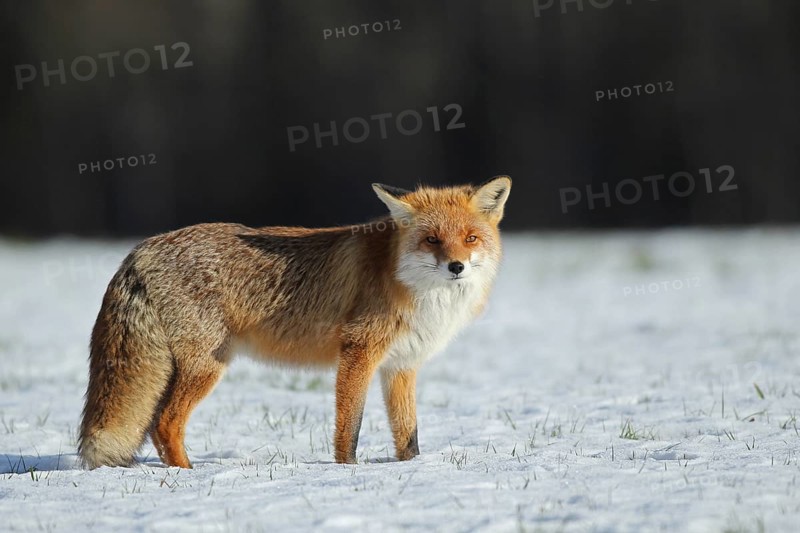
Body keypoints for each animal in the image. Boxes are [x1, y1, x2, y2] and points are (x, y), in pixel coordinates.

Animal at [78, 176, 511, 469]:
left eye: (470, 238)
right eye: (432, 240)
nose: (456, 267)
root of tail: (141, 248)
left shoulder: (401, 366)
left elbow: (408, 436)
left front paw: (413, 470)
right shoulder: (358, 352)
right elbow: (349, 428)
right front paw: (346, 472)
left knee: (155, 424)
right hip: (207, 366)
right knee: (164, 423)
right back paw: (190, 475)